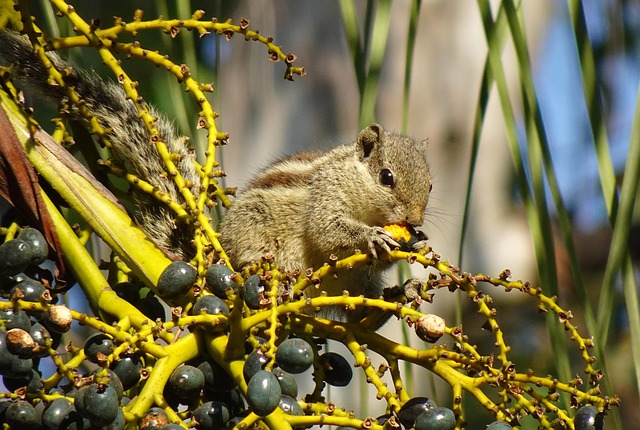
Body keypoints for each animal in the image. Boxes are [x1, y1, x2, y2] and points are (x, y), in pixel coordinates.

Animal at [0, 30, 432, 323]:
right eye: (387, 177)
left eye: (430, 186)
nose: (414, 220)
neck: (356, 183)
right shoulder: (326, 195)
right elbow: (328, 230)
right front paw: (371, 237)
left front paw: (416, 242)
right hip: (257, 238)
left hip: (355, 287)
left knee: (364, 313)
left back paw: (401, 293)